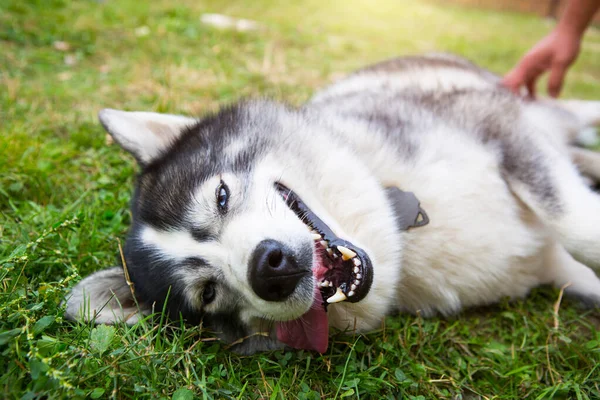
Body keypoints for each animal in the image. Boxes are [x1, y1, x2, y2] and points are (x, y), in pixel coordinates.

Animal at [64, 54, 600, 354]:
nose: (270, 268)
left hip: (530, 109)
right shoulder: (549, 268)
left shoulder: (500, 127)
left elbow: (579, 228)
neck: (401, 234)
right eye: (209, 293)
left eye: (221, 196)